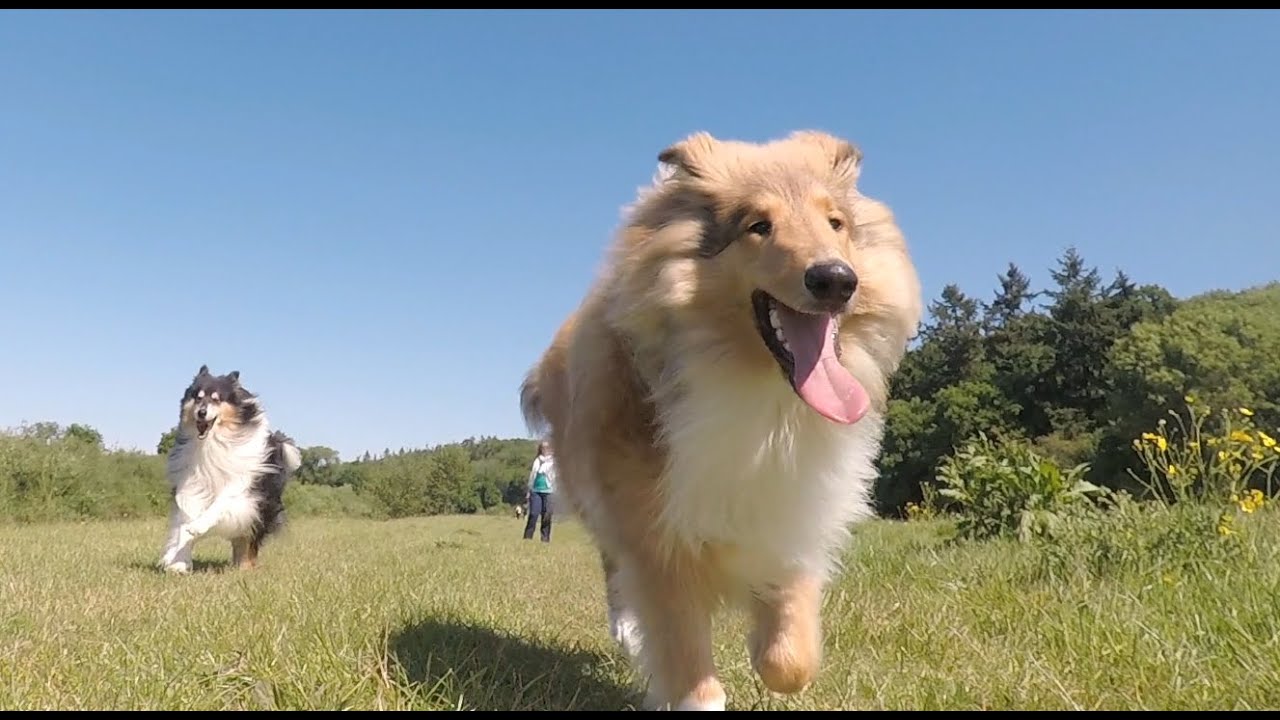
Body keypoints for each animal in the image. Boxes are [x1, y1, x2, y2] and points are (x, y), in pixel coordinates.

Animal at [156, 363, 300, 571]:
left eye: (216, 399)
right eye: (197, 397)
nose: (201, 412)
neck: (213, 442)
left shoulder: (242, 487)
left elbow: (220, 504)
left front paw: (198, 527)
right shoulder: (192, 481)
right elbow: (185, 521)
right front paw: (178, 561)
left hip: (264, 507)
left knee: (250, 541)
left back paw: (245, 566)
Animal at [519, 128, 921, 707]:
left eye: (835, 223)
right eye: (758, 226)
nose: (836, 279)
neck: (761, 398)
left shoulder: (793, 512)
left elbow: (791, 660)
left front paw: (767, 648)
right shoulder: (658, 543)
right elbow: (691, 667)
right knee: (614, 570)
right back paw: (627, 630)